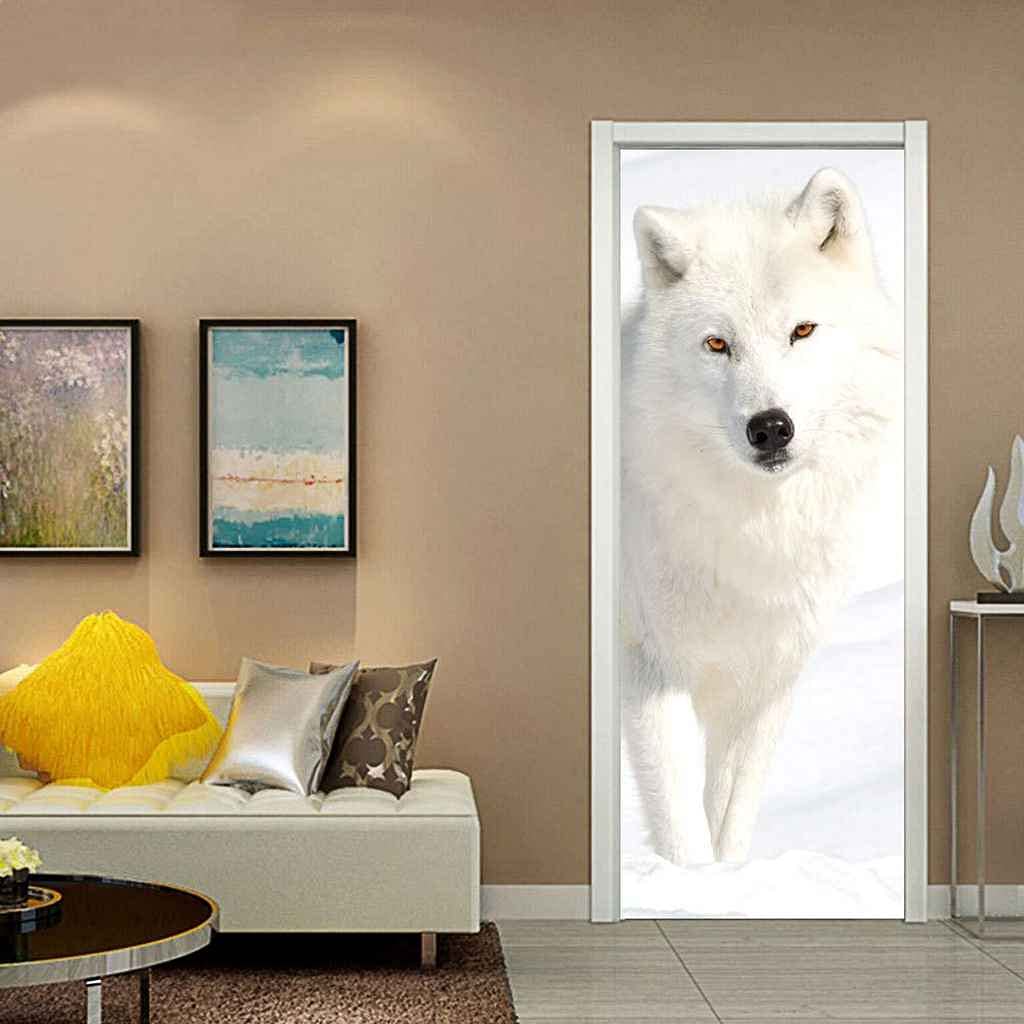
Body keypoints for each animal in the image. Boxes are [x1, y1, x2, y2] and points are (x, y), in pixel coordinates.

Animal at [622, 168, 901, 866]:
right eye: (718, 344)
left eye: (802, 330)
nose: (770, 427)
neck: (752, 536)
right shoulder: (649, 667)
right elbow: (683, 833)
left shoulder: (766, 679)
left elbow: (729, 824)